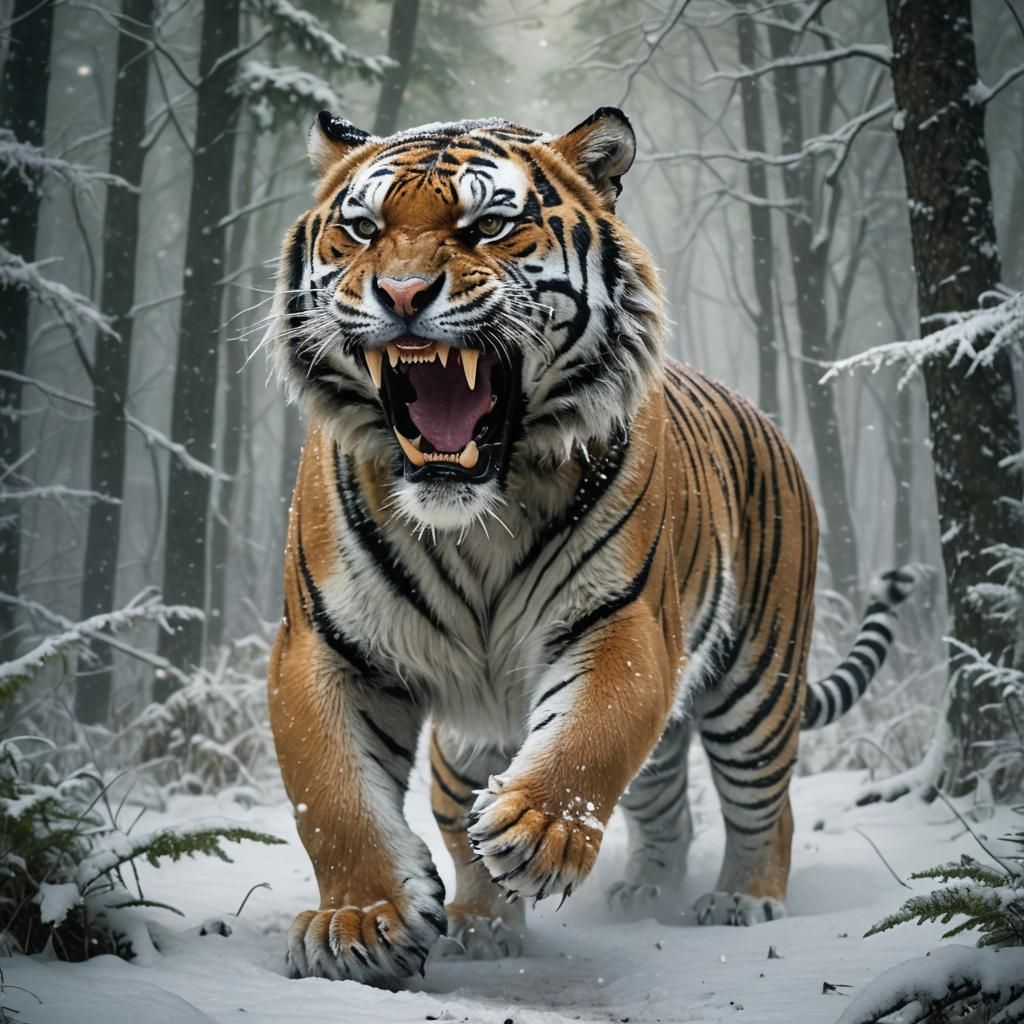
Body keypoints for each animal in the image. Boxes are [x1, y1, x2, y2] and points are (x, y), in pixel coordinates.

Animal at [267, 106, 918, 985]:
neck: (476, 515)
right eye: (363, 229)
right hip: (480, 743)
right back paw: (553, 908)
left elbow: (594, 729)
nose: (400, 295)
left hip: (758, 684)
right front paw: (362, 919)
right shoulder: (322, 645)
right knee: (647, 802)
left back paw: (740, 901)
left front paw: (537, 832)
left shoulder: (625, 619)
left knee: (764, 804)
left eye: (489, 225)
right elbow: (331, 793)